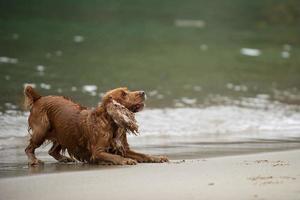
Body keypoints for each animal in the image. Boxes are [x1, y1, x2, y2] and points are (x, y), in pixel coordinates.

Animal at [23, 86, 169, 166]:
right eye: (123, 94)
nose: (143, 92)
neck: (112, 124)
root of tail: (39, 98)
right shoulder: (98, 152)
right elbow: (116, 157)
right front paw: (126, 161)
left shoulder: (123, 148)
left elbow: (143, 154)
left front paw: (158, 157)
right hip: (42, 130)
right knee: (29, 148)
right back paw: (34, 161)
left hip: (64, 132)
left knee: (52, 150)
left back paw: (65, 158)